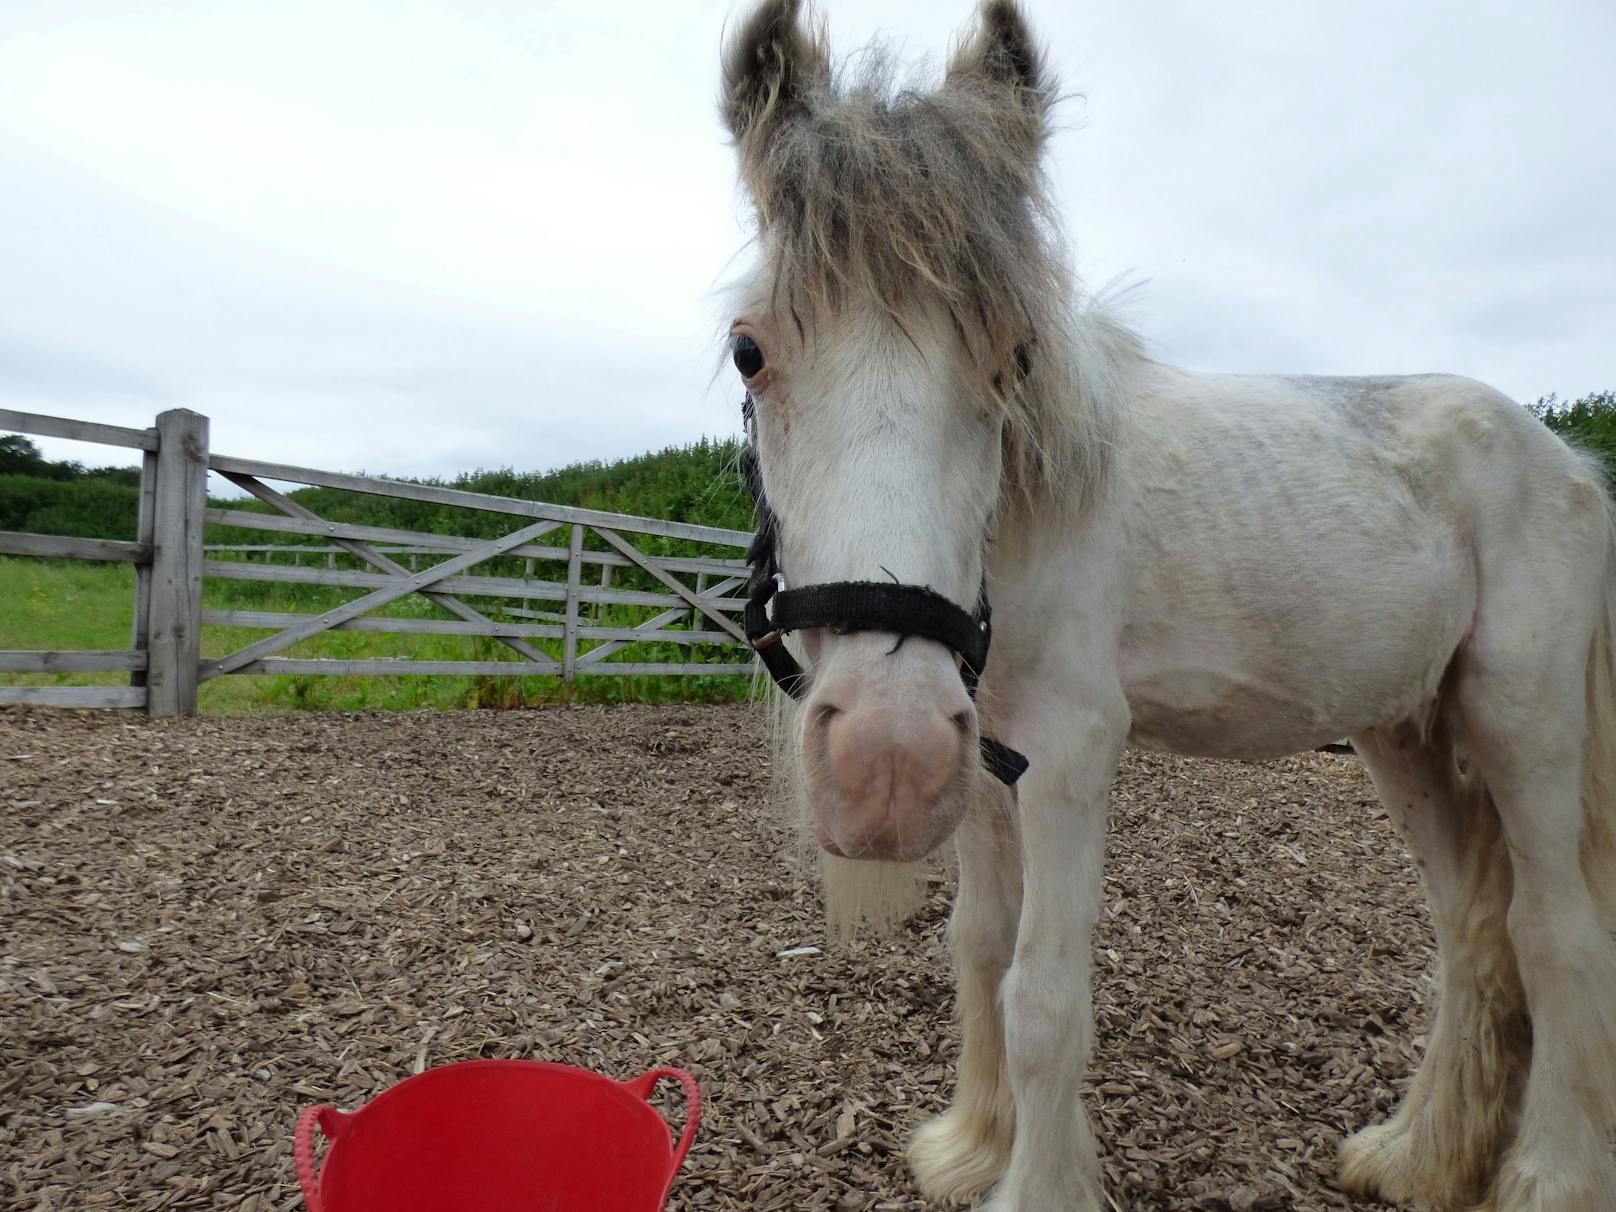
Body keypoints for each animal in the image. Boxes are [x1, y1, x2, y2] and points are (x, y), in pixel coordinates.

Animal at [720, 2, 1616, 1212]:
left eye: (1013, 357)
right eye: (749, 350)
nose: (884, 760)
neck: (1022, 527)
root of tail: (1564, 459)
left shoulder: (1067, 752)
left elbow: (1042, 998)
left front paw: (1034, 1184)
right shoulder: (984, 758)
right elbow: (978, 946)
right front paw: (972, 1150)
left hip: (1524, 725)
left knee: (1556, 931)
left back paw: (1547, 1178)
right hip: (1406, 733)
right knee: (1474, 924)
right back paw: (1417, 1156)